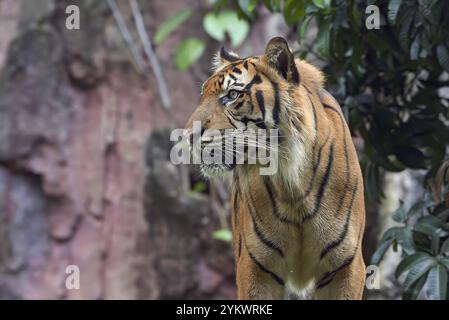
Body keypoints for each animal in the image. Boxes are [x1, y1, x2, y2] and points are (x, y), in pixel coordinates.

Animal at [184, 37, 366, 300]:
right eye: (202, 96)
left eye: (232, 95)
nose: (188, 136)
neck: (293, 185)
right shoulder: (254, 267)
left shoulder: (346, 266)